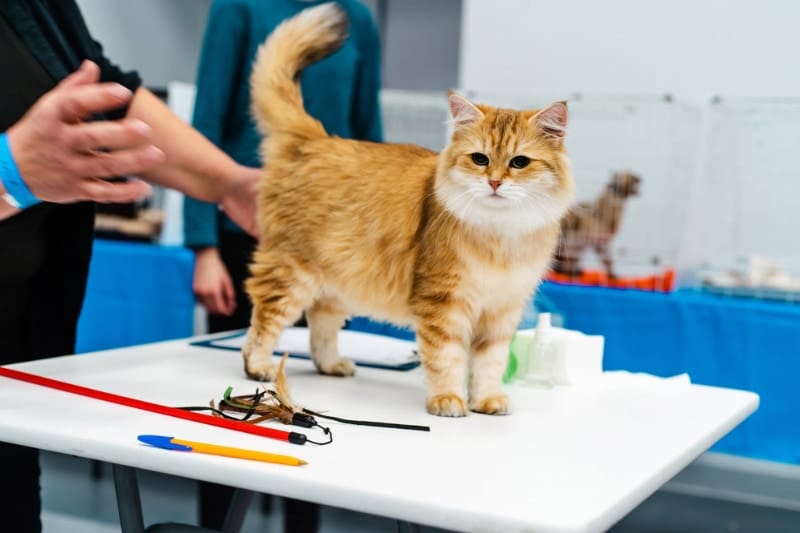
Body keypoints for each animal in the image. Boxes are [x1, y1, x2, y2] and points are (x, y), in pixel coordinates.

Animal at [244, 4, 576, 418]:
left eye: (519, 162)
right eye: (480, 159)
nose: (495, 182)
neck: (501, 236)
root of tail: (317, 139)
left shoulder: (502, 311)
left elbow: (488, 364)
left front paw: (486, 400)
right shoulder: (444, 302)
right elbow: (447, 359)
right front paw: (448, 401)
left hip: (339, 279)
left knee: (321, 323)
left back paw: (332, 365)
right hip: (292, 272)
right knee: (264, 320)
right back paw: (259, 367)